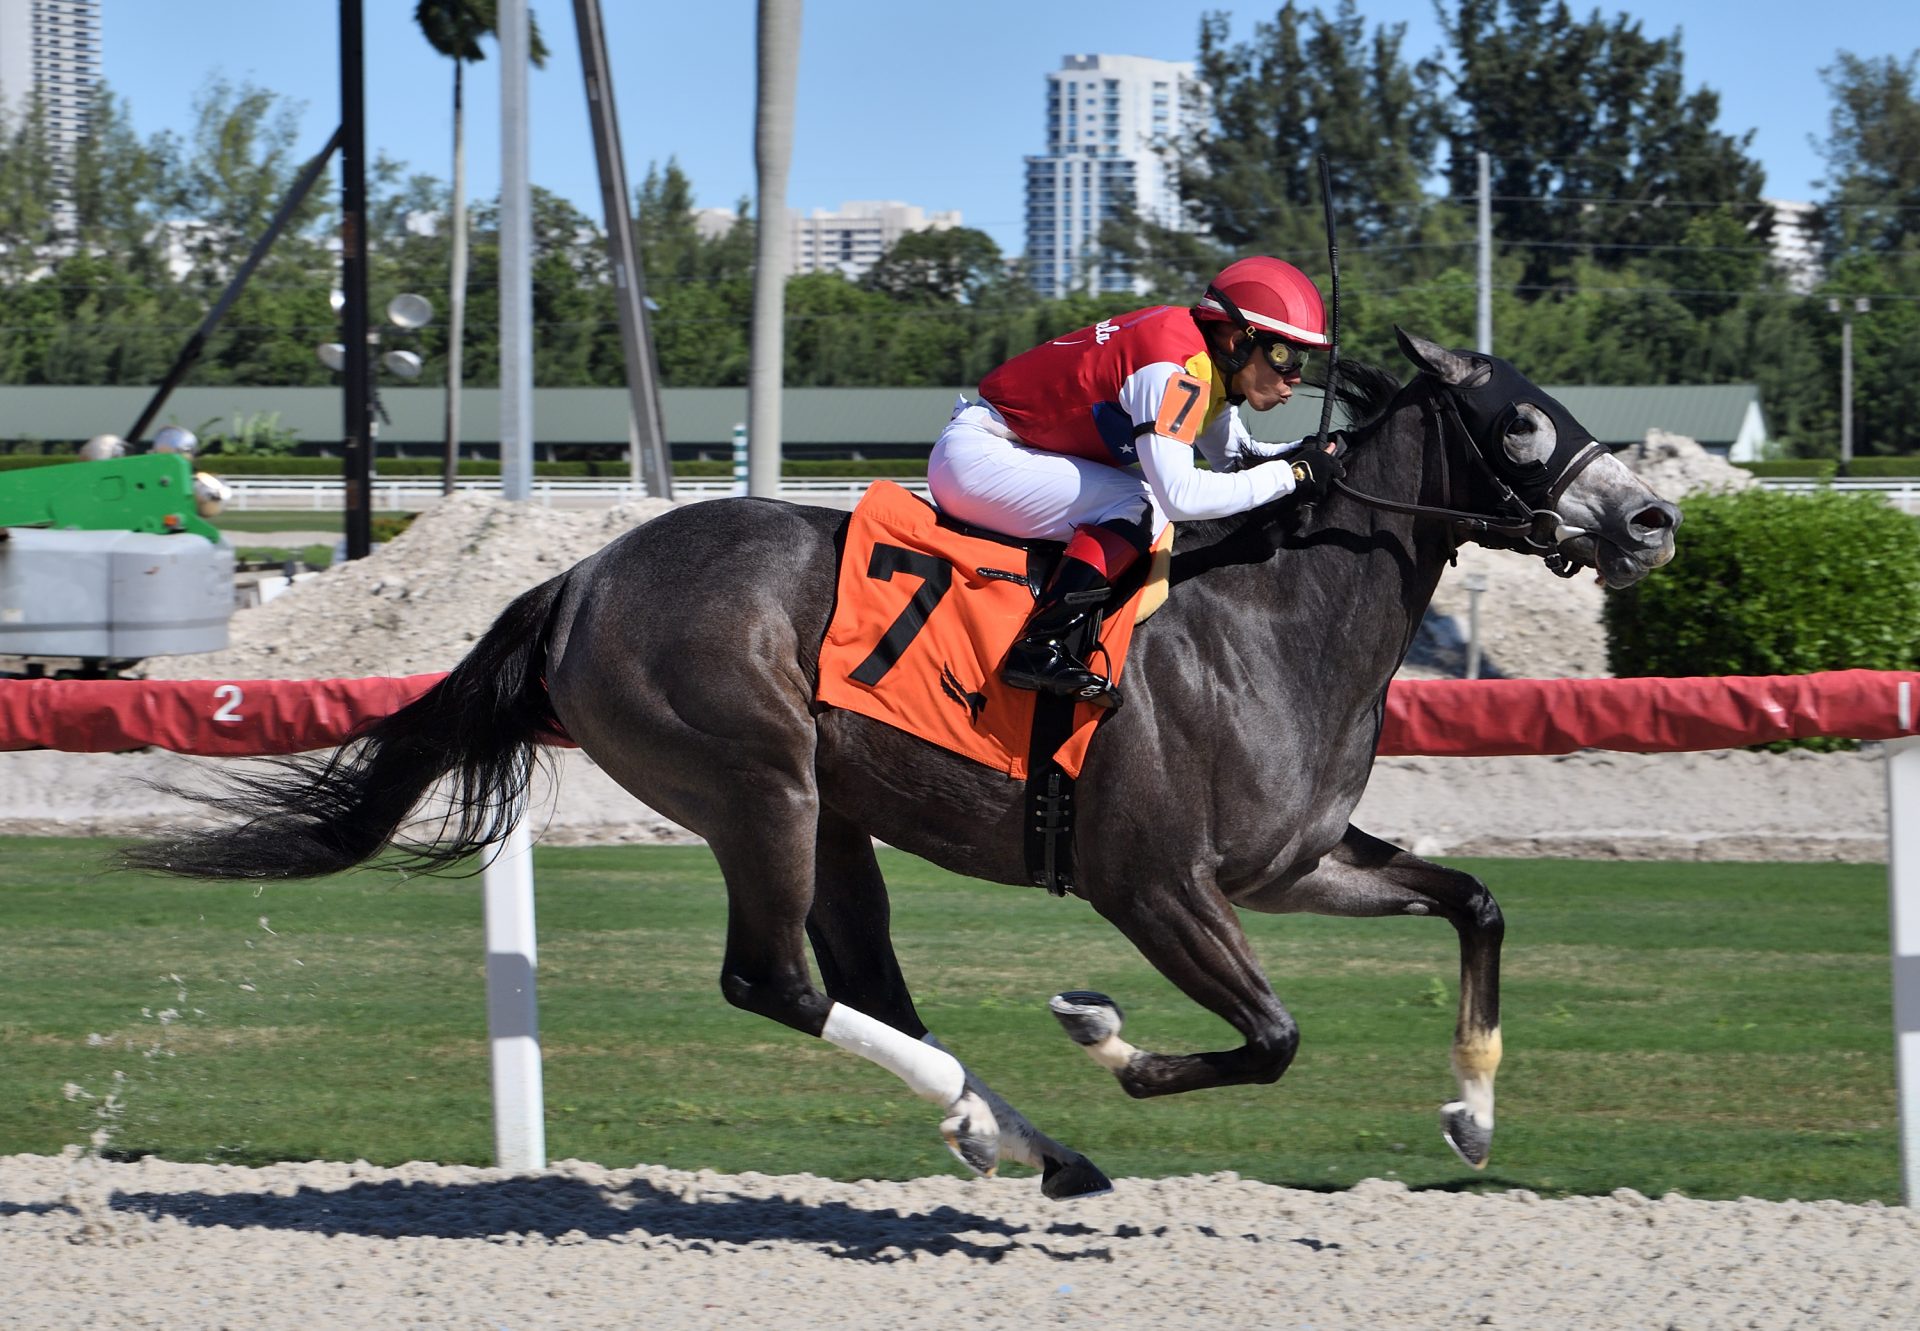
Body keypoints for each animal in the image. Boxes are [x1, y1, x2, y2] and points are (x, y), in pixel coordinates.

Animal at [127, 330, 1681, 1190]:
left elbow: (1476, 901)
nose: (1654, 518)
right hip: (757, 783)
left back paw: (1013, 1134)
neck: (1269, 616)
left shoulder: (1287, 863)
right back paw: (1004, 1121)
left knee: (862, 978)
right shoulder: (1154, 884)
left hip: (833, 813)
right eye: (1524, 421)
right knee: (777, 979)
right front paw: (1106, 1036)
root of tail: (576, 579)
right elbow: (1273, 1034)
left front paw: (1471, 1111)